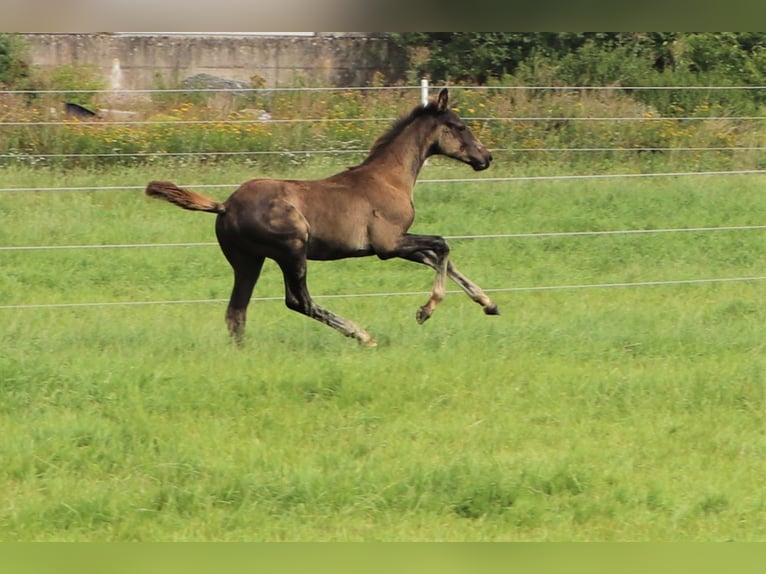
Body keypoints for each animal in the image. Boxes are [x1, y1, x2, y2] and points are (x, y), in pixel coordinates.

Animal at [147, 88, 500, 344]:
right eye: (460, 126)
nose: (486, 158)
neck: (390, 178)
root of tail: (225, 205)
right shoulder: (388, 244)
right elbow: (442, 245)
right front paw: (426, 310)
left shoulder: (398, 245)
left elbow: (439, 258)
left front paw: (489, 303)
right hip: (292, 249)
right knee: (297, 301)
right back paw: (362, 335)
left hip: (248, 261)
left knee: (237, 312)